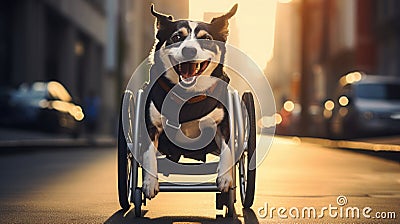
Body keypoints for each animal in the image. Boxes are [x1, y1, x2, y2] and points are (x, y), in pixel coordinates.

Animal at [142, 4, 238, 199]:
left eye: (206, 39)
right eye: (177, 37)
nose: (189, 50)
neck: (188, 96)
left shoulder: (223, 124)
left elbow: (228, 150)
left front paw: (225, 178)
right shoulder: (151, 126)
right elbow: (148, 155)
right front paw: (149, 182)